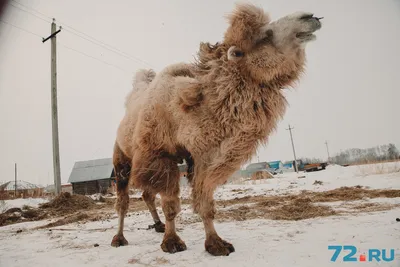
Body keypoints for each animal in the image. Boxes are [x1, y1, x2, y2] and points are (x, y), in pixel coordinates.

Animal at [111, 3, 324, 256]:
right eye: (265, 36)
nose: (309, 17)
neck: (183, 108)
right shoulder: (160, 153)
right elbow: (170, 203)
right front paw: (172, 242)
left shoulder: (204, 155)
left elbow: (206, 202)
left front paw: (216, 243)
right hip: (122, 157)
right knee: (124, 201)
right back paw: (119, 237)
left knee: (146, 194)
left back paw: (157, 225)